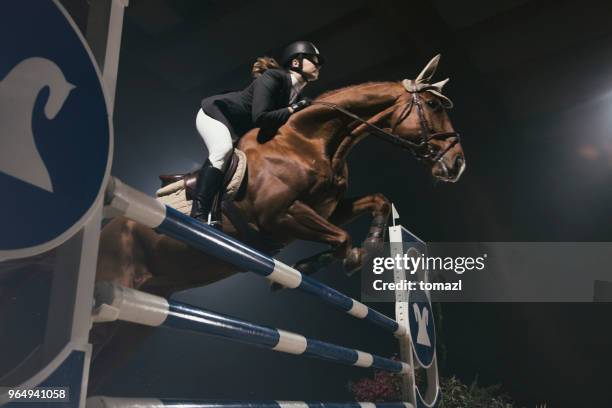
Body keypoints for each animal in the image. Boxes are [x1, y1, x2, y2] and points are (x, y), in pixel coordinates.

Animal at [88, 55, 466, 388]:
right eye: (433, 106)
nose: (457, 164)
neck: (312, 140)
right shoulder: (279, 216)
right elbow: (341, 239)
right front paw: (327, 264)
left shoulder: (327, 209)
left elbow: (378, 201)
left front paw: (368, 244)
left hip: (136, 324)